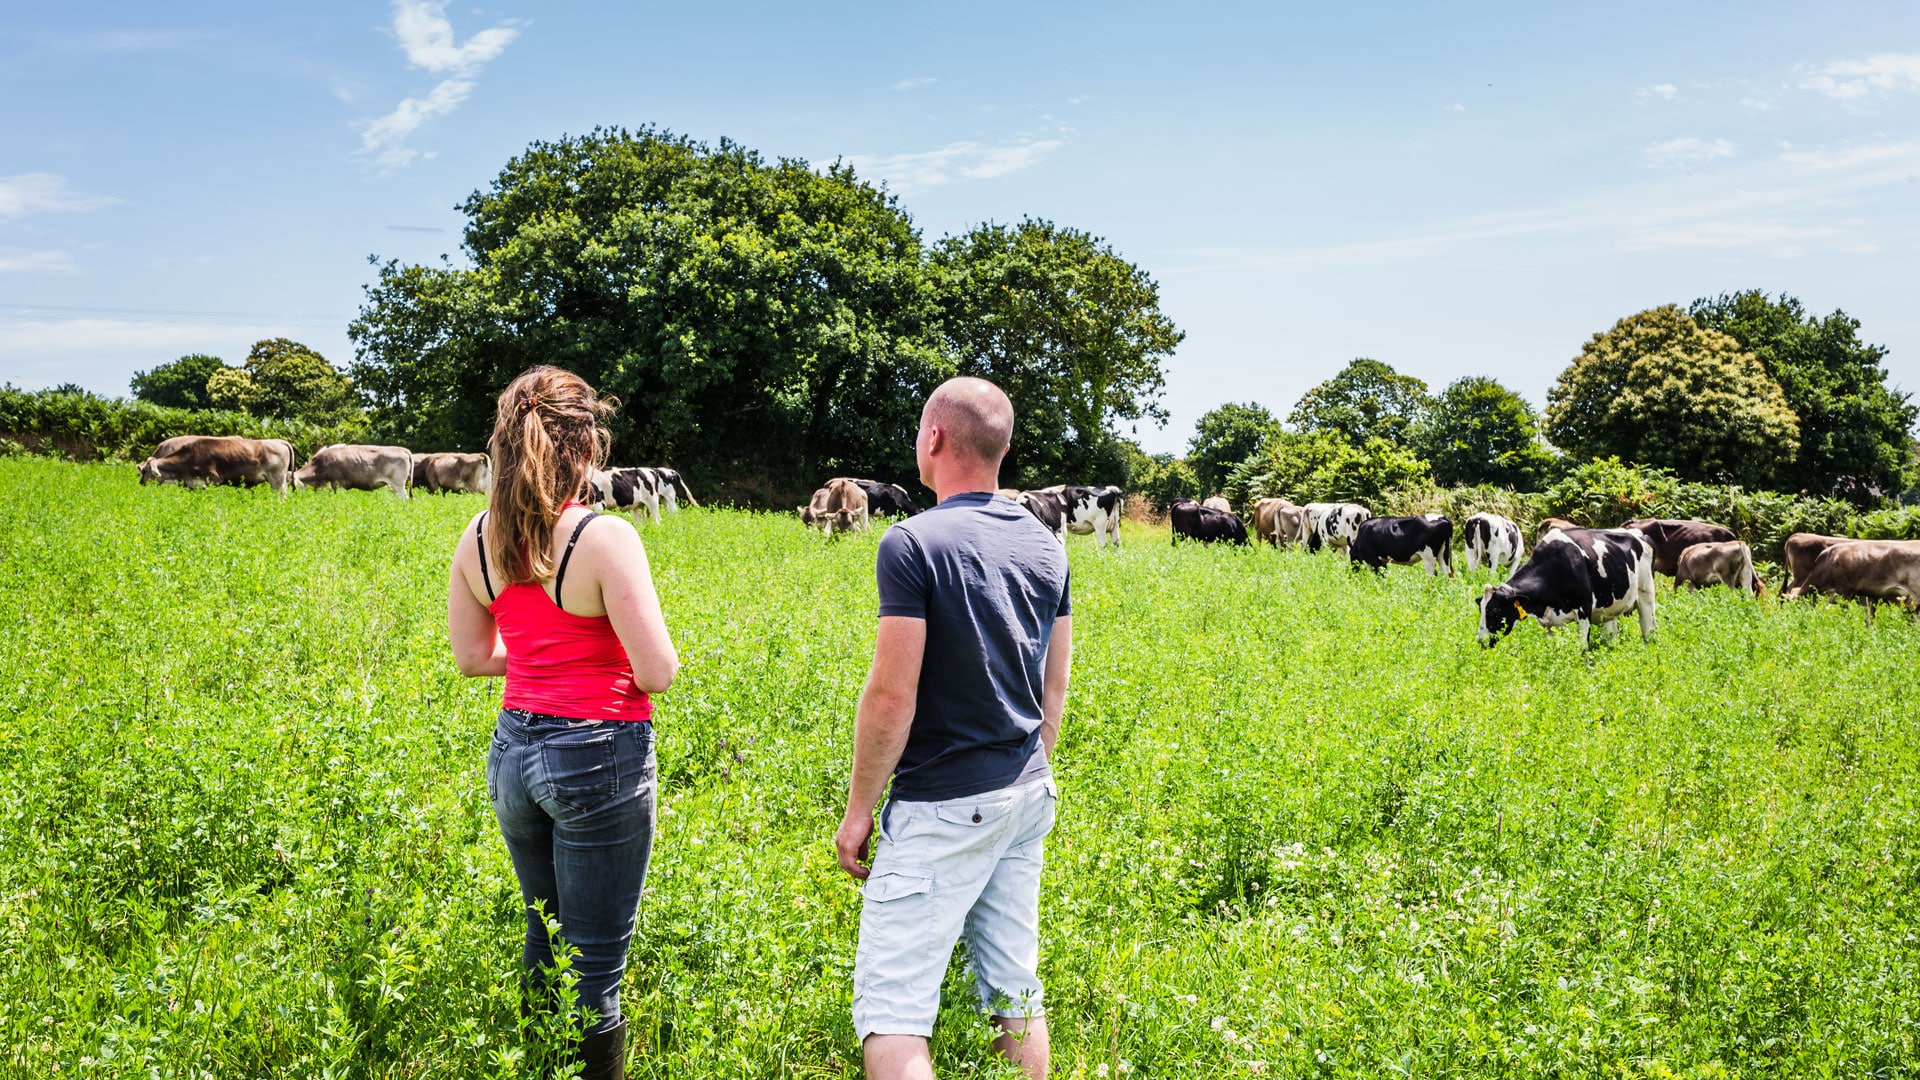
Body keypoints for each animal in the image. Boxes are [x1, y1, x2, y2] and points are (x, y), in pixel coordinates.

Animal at [1474, 522, 1658, 645]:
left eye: (1494, 611)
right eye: (1481, 609)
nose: (1481, 640)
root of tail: (1641, 535)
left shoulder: (1584, 611)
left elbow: (1582, 650)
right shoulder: (1547, 622)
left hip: (1646, 596)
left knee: (1649, 632)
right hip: (1608, 610)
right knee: (1610, 637)